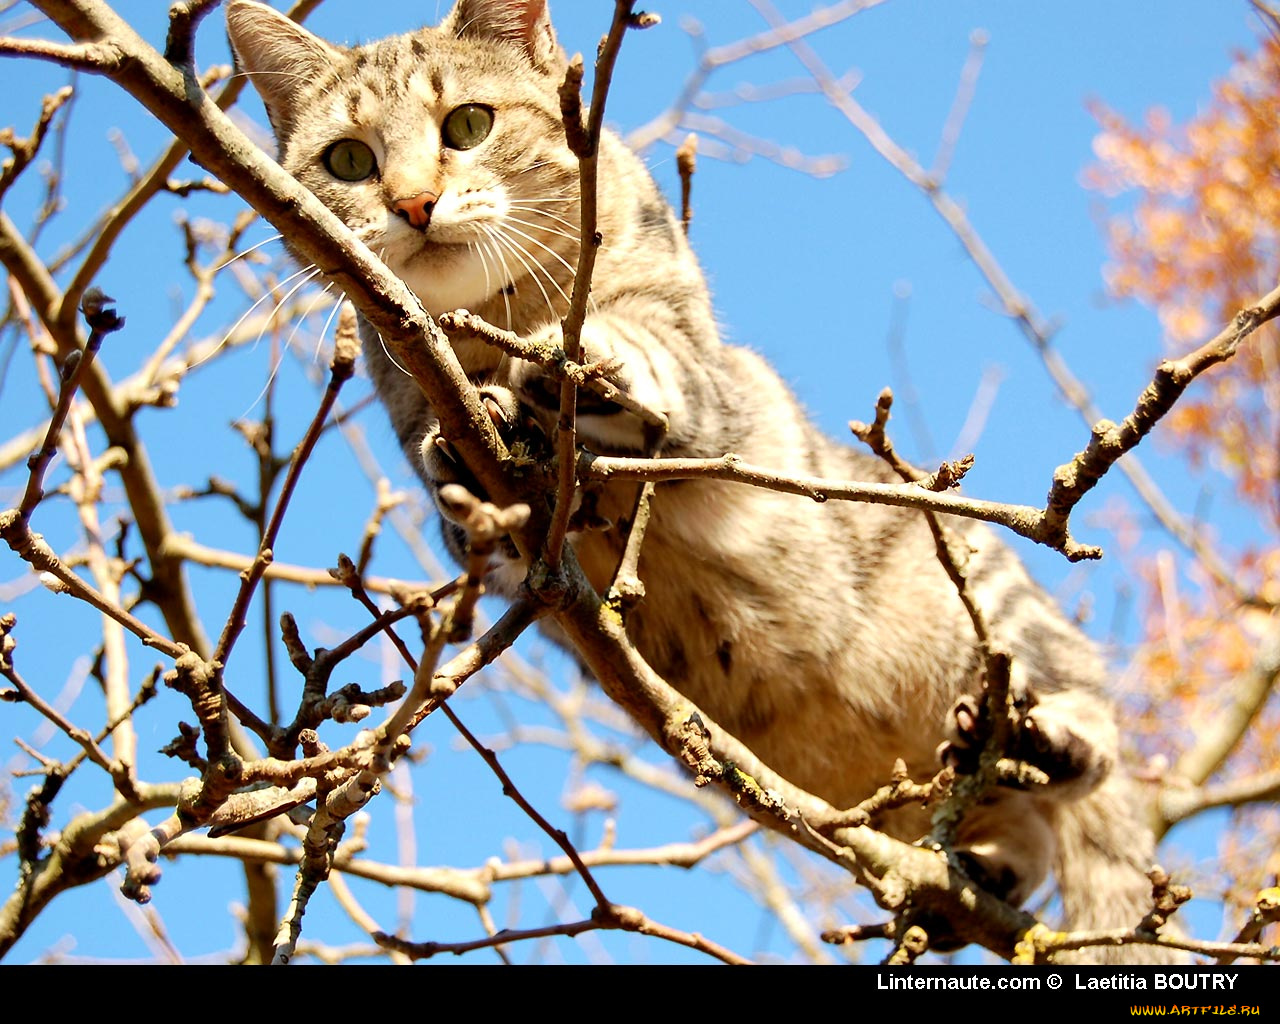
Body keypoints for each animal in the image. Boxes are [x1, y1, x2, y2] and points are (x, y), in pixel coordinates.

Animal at [227, 0, 1172, 962]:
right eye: (350, 160)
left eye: (468, 125)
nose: (412, 203)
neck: (496, 320)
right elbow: (464, 491)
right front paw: (480, 440)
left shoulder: (707, 377)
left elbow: (652, 359)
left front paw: (582, 366)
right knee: (1010, 835)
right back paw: (978, 872)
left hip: (999, 616)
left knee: (1087, 754)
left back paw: (1048, 746)